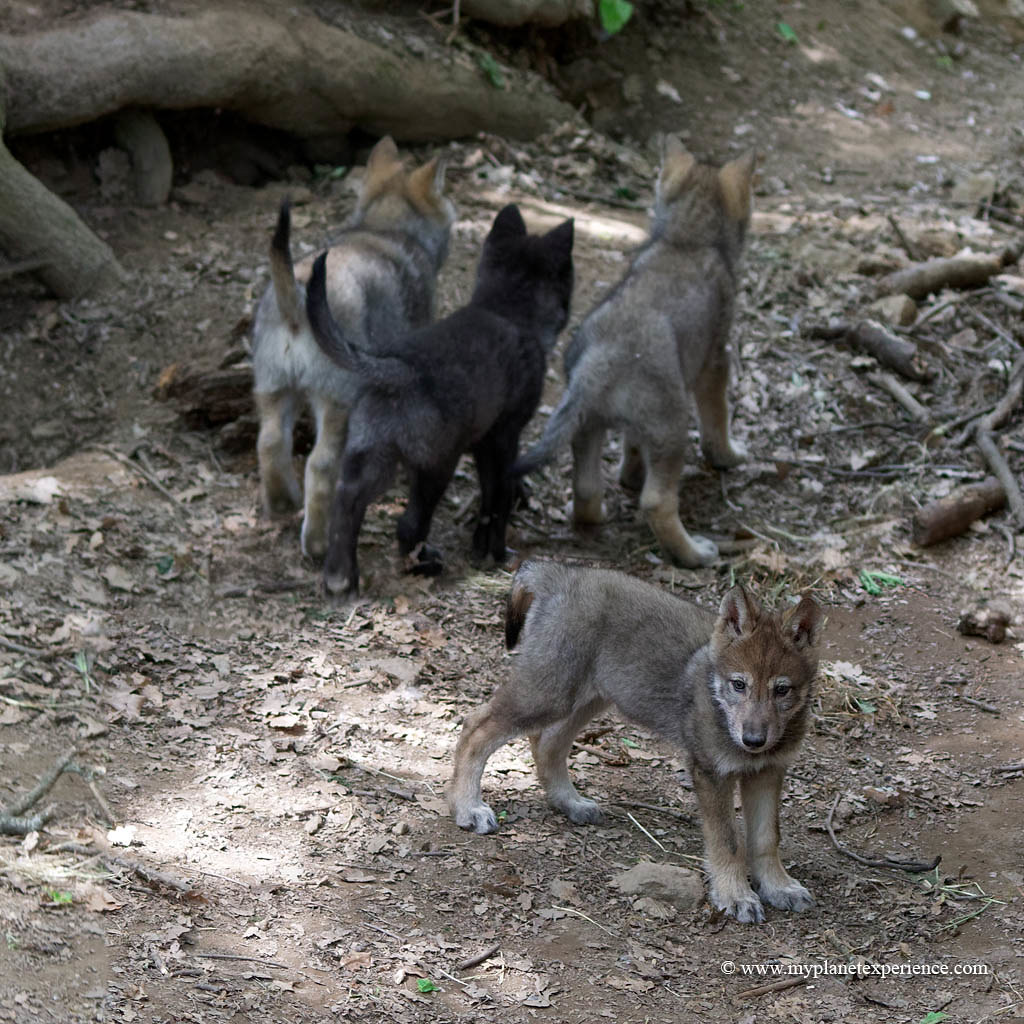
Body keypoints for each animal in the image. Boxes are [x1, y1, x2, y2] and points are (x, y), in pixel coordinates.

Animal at [251, 137, 454, 561]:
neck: (384, 228)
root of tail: (296, 297)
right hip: (336, 402)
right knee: (320, 466)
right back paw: (317, 542)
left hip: (273, 388)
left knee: (270, 443)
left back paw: (283, 502)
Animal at [304, 205, 575, 600]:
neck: (507, 309)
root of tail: (400, 368)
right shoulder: (504, 437)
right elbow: (499, 496)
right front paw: (495, 552)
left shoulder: (484, 442)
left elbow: (488, 496)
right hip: (436, 464)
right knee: (409, 524)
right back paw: (424, 563)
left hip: (370, 456)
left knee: (347, 503)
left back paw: (341, 577)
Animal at [447, 560, 823, 923]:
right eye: (739, 685)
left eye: (782, 690)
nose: (753, 740)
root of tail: (559, 573)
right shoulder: (711, 772)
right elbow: (728, 842)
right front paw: (736, 896)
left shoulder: (767, 773)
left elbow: (766, 839)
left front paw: (778, 887)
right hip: (547, 695)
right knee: (475, 726)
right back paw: (468, 808)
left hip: (588, 699)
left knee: (545, 743)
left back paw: (570, 803)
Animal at [515, 141, 757, 568]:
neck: (686, 239)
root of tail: (597, 365)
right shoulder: (715, 362)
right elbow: (718, 418)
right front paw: (729, 455)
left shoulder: (638, 428)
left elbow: (632, 447)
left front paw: (630, 475)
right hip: (673, 427)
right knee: (657, 502)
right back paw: (696, 553)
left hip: (589, 427)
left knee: (587, 491)